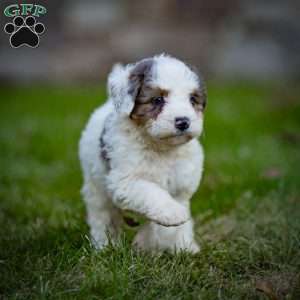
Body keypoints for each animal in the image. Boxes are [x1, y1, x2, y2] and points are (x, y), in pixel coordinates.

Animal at [79, 54, 206, 253]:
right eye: (157, 100)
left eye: (192, 99)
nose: (183, 122)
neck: (162, 148)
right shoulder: (125, 182)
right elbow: (152, 193)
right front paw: (173, 214)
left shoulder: (182, 187)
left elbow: (166, 228)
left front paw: (179, 247)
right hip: (96, 187)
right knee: (102, 216)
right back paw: (105, 246)